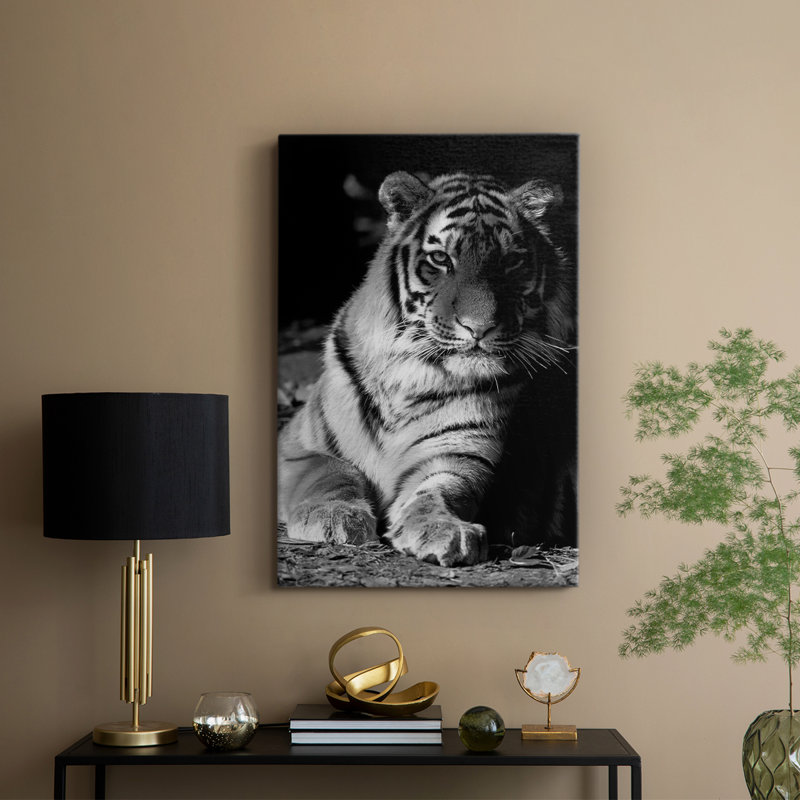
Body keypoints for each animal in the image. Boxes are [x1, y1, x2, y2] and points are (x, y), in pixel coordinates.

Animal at [278, 170, 576, 568]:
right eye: (440, 259)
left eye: (511, 261)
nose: (479, 328)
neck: (410, 376)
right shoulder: (297, 445)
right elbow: (330, 472)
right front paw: (334, 517)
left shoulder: (458, 454)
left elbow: (438, 491)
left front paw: (444, 530)